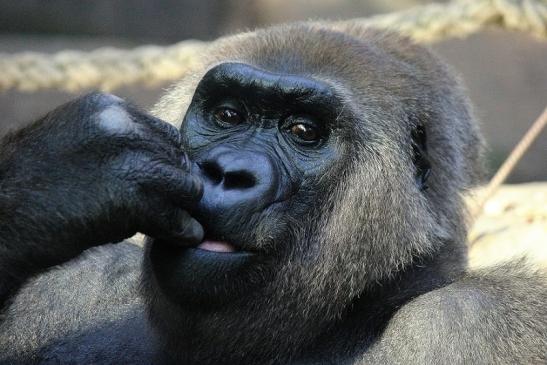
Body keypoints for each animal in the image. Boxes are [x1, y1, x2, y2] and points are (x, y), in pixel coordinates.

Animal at [1, 23, 547, 364]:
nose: (228, 173)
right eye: (228, 115)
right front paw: (60, 174)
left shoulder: (478, 324)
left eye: (303, 131)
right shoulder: (76, 286)